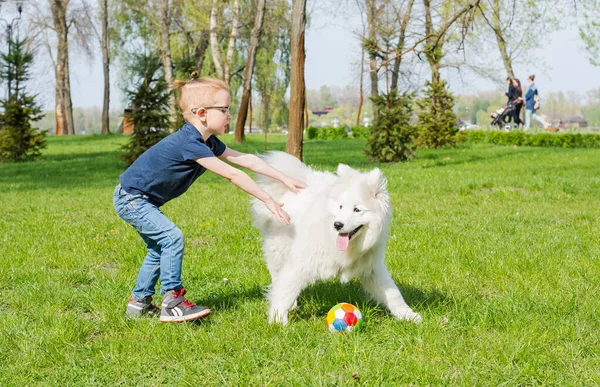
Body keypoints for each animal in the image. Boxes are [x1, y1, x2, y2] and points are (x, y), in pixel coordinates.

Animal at [251, 153, 424, 326]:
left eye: (357, 209)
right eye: (340, 206)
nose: (337, 225)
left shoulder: (372, 268)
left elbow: (393, 293)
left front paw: (408, 315)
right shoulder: (300, 262)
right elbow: (286, 291)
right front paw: (278, 320)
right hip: (279, 249)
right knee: (277, 276)